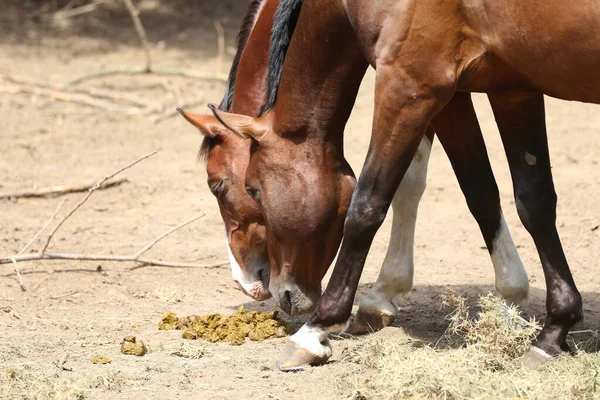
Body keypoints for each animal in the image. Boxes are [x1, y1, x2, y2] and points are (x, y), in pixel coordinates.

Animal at [207, 0, 596, 368]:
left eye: (228, 186)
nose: (258, 285)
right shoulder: (512, 88)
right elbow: (526, 199)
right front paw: (551, 327)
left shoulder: (412, 87)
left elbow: (371, 204)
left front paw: (317, 330)